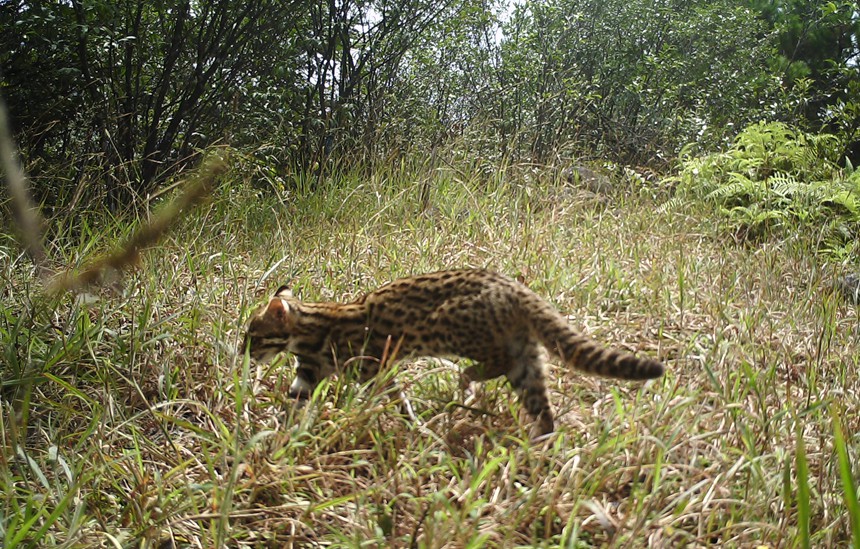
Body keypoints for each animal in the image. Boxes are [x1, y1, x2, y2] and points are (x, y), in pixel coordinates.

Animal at [242, 268, 664, 434]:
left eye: (253, 335)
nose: (243, 353)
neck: (310, 332)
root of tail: (516, 288)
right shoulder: (307, 374)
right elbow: (294, 401)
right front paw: (272, 436)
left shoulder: (376, 369)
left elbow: (394, 400)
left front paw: (410, 425)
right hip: (527, 359)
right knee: (541, 406)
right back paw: (540, 446)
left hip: (447, 327)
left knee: (496, 362)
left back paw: (467, 381)